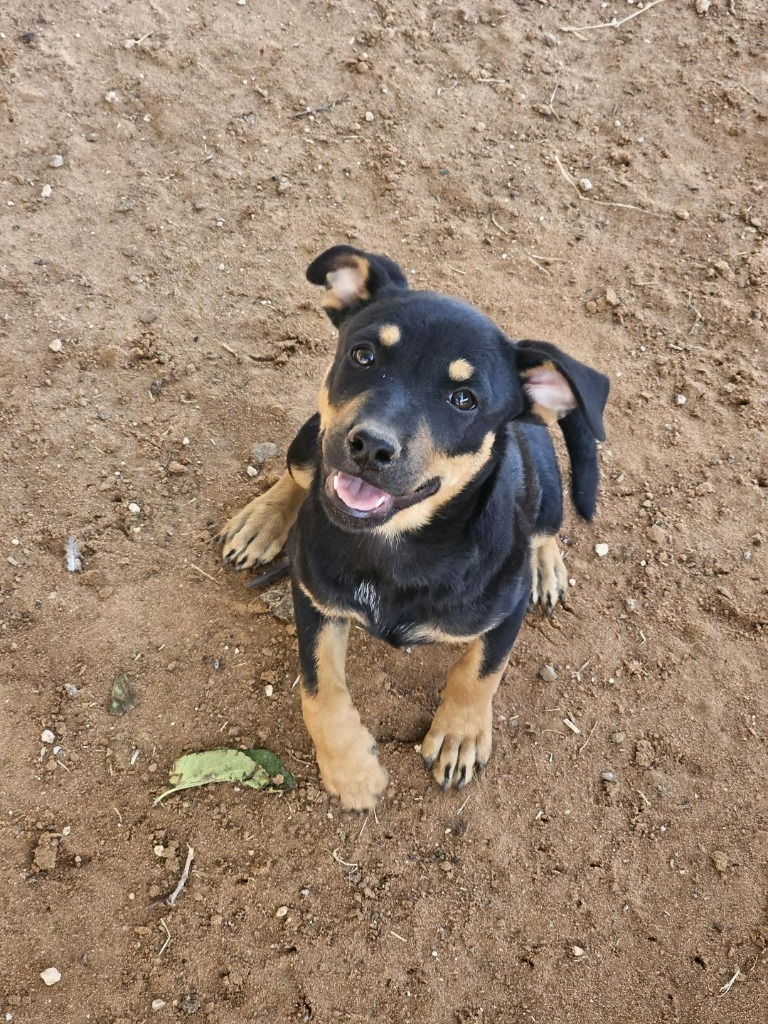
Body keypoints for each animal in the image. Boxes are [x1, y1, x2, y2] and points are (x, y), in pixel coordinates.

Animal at [219, 245, 610, 806]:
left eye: (464, 399)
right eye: (363, 355)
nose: (371, 447)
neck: (396, 547)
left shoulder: (505, 611)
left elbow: (480, 671)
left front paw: (459, 735)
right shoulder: (313, 596)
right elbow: (319, 689)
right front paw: (352, 770)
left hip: (550, 484)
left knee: (544, 528)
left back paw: (545, 565)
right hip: (311, 437)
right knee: (298, 472)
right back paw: (261, 521)